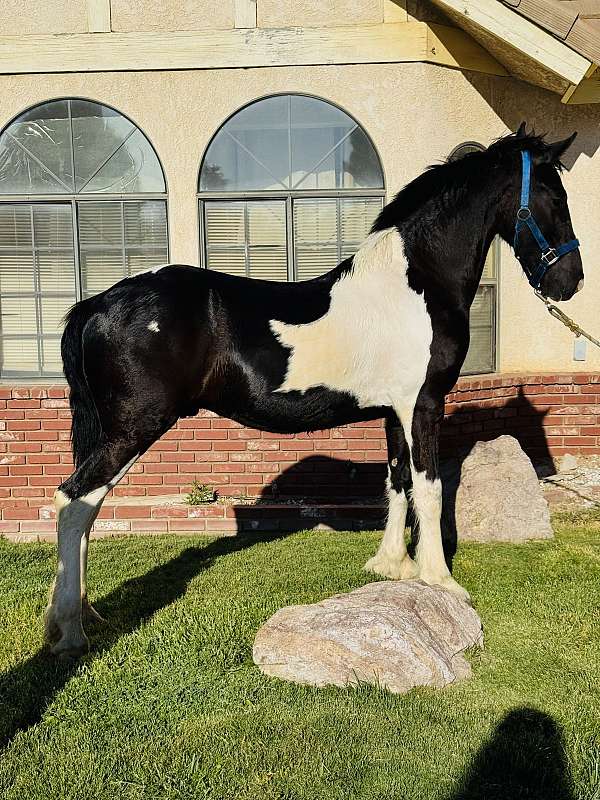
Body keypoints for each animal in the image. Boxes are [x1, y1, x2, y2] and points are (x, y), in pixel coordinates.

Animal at [45, 124, 584, 658]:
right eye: (555, 198)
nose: (570, 282)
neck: (415, 285)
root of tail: (97, 304)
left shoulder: (394, 412)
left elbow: (398, 482)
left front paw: (393, 567)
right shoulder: (423, 405)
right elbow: (430, 488)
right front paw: (441, 581)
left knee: (85, 508)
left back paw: (81, 616)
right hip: (132, 429)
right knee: (74, 502)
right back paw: (70, 629)